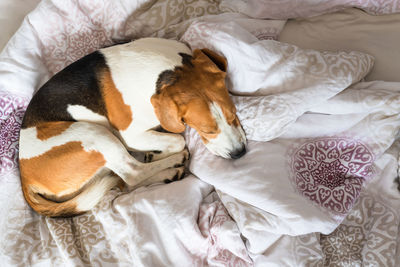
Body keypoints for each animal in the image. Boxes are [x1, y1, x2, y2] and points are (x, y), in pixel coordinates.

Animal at [18, 37, 247, 218]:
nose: (239, 153)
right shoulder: (130, 135)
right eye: (208, 130)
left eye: (234, 115)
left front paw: (156, 153)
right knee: (132, 173)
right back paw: (172, 164)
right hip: (95, 134)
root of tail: (25, 176)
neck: (168, 71)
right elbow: (178, 138)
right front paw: (165, 152)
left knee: (127, 180)